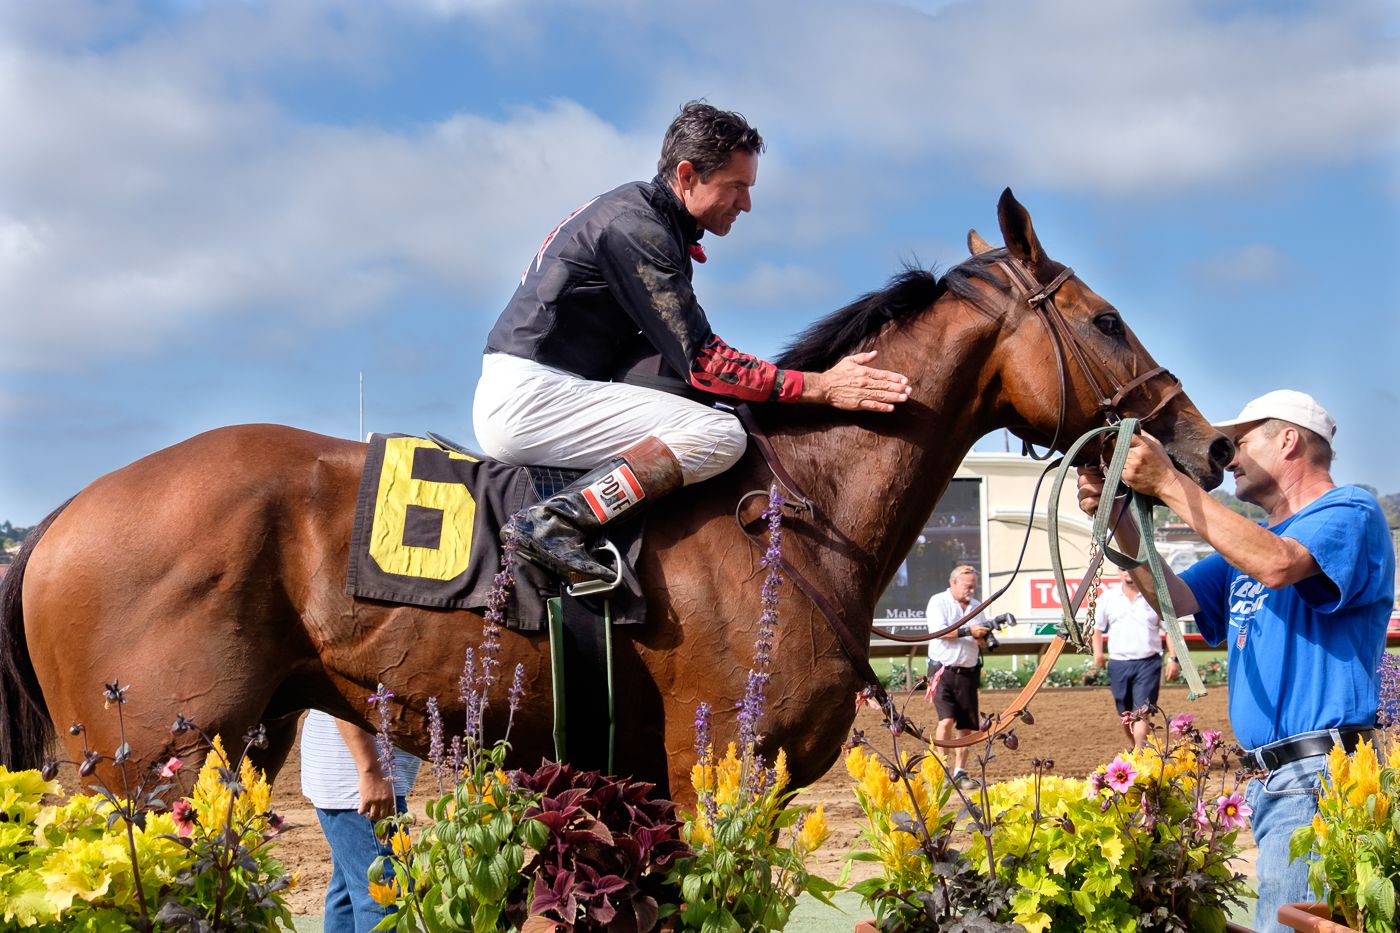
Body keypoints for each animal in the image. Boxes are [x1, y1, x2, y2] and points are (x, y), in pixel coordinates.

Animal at [1, 189, 1232, 802]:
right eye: (1106, 318)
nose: (1204, 441)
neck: (798, 511)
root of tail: (60, 518)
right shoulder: (718, 767)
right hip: (145, 766)